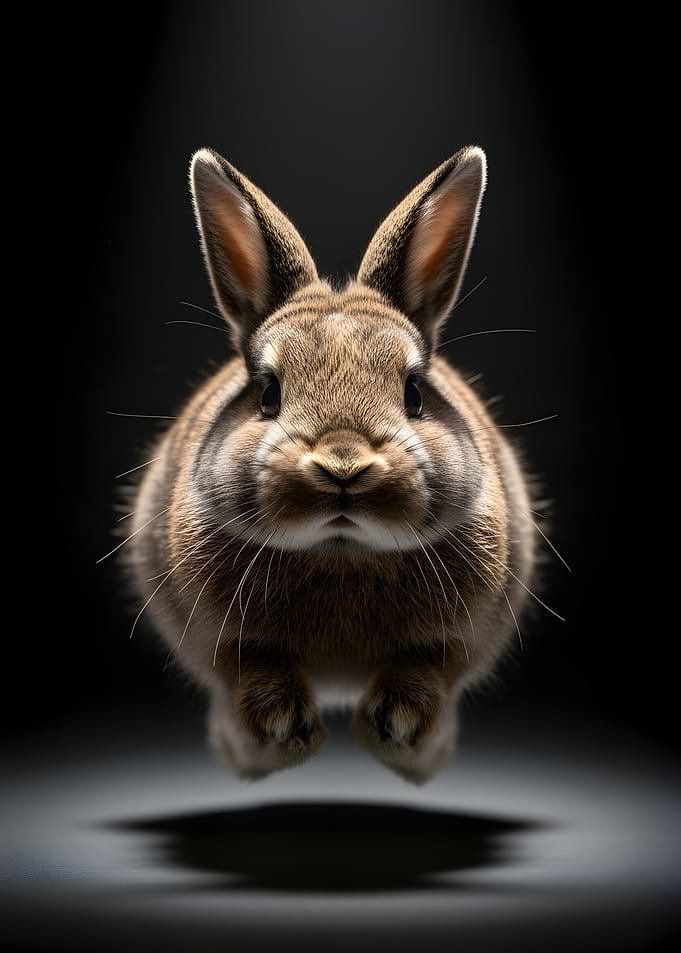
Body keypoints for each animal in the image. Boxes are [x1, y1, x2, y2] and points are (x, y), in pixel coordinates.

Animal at [127, 145, 537, 783]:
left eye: (414, 393)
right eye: (267, 393)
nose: (344, 468)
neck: (341, 552)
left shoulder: (464, 635)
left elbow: (430, 666)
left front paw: (392, 728)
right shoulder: (213, 635)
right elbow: (248, 666)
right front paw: (288, 730)